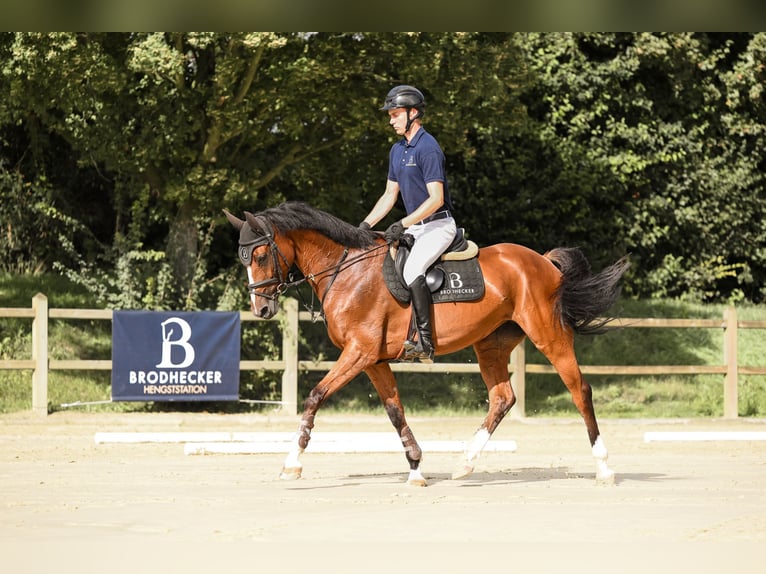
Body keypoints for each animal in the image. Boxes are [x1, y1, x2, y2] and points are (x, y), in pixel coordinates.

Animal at [224, 201, 630, 486]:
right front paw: (416, 468)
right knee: (502, 398)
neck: (345, 270)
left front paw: (292, 463)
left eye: (261, 254)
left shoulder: (359, 352)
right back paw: (465, 463)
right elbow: (395, 411)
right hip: (491, 343)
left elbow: (315, 397)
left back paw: (604, 467)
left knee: (579, 389)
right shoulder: (373, 359)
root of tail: (544, 263)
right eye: (243, 258)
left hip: (548, 334)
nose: (260, 308)